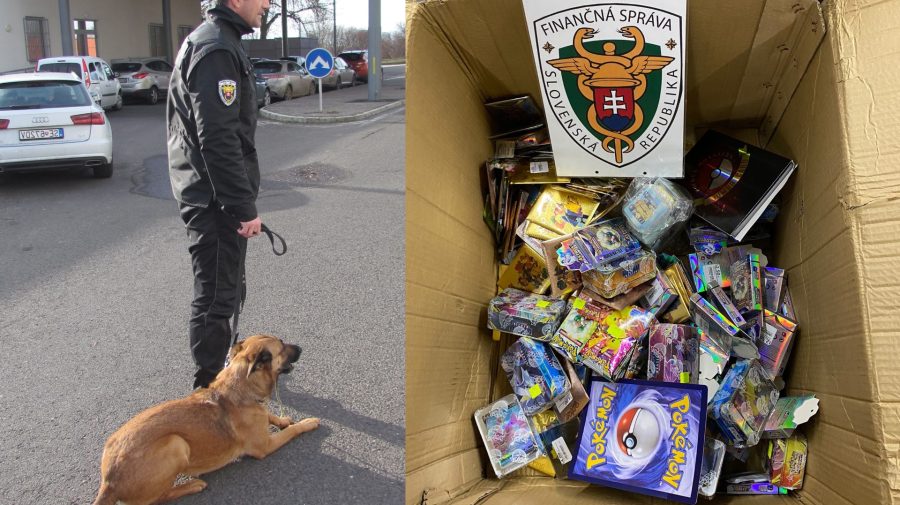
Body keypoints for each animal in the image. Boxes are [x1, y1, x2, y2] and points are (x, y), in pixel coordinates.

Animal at [92, 335, 320, 505]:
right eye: (282, 347)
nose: (301, 347)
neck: (239, 387)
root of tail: (109, 482)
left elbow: (270, 415)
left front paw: (282, 419)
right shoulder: (265, 446)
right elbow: (292, 431)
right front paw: (307, 423)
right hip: (176, 443)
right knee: (158, 498)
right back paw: (191, 486)